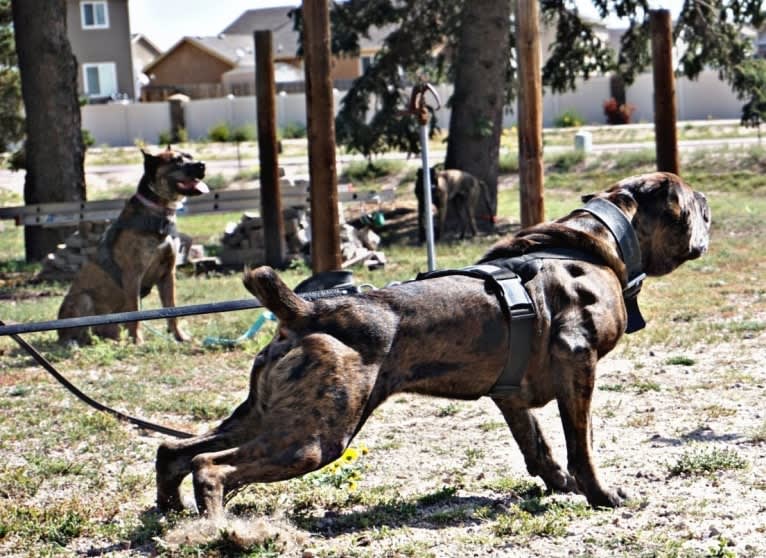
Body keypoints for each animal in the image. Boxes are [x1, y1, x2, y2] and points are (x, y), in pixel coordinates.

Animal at [57, 147, 207, 346]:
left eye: (190, 156)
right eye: (176, 160)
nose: (202, 165)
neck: (157, 210)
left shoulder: (168, 274)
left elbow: (172, 309)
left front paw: (179, 336)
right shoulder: (133, 275)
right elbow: (135, 312)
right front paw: (138, 341)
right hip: (83, 298)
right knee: (82, 333)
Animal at [156, 172, 712, 520]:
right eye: (692, 203)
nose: (707, 206)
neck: (596, 242)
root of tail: (308, 311)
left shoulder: (512, 396)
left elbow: (537, 445)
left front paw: (559, 484)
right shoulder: (580, 364)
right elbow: (583, 444)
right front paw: (600, 494)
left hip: (265, 416)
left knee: (175, 449)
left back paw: (172, 515)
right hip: (314, 437)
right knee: (212, 467)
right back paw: (220, 530)